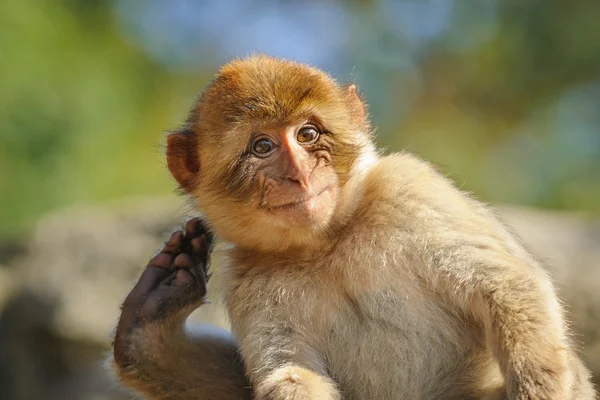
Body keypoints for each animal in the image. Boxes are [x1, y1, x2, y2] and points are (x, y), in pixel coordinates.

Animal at [110, 56, 592, 400]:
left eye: (307, 134)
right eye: (262, 146)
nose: (299, 175)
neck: (328, 242)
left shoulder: (411, 189)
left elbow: (507, 288)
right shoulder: (248, 276)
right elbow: (291, 373)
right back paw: (148, 327)